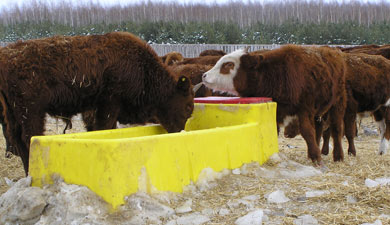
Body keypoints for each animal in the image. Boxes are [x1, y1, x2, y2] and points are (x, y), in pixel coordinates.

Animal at [0, 31, 194, 173]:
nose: (179, 131)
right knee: (29, 138)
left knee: (17, 139)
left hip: (13, 113)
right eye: (188, 106)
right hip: (31, 111)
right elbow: (103, 128)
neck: (142, 67)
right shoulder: (109, 104)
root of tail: (7, 56)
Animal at [203, 44, 346, 164]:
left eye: (228, 64)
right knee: (318, 130)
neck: (276, 75)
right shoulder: (276, 113)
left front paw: (316, 158)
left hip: (337, 105)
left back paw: (338, 156)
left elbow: (307, 131)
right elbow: (274, 132)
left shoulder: (304, 110)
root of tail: (334, 51)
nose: (204, 75)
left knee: (336, 130)